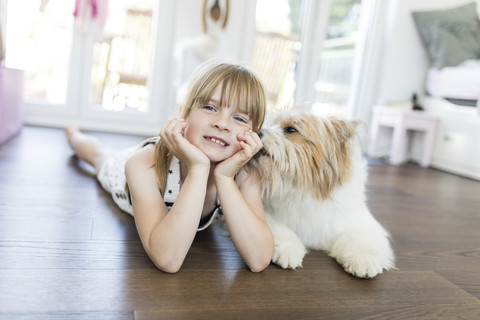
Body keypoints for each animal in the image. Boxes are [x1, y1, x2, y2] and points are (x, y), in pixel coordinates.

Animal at [251, 110, 394, 278]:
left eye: (291, 129)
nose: (256, 130)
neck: (300, 187)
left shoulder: (358, 221)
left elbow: (363, 237)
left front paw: (364, 258)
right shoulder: (265, 212)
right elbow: (277, 228)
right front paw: (288, 249)